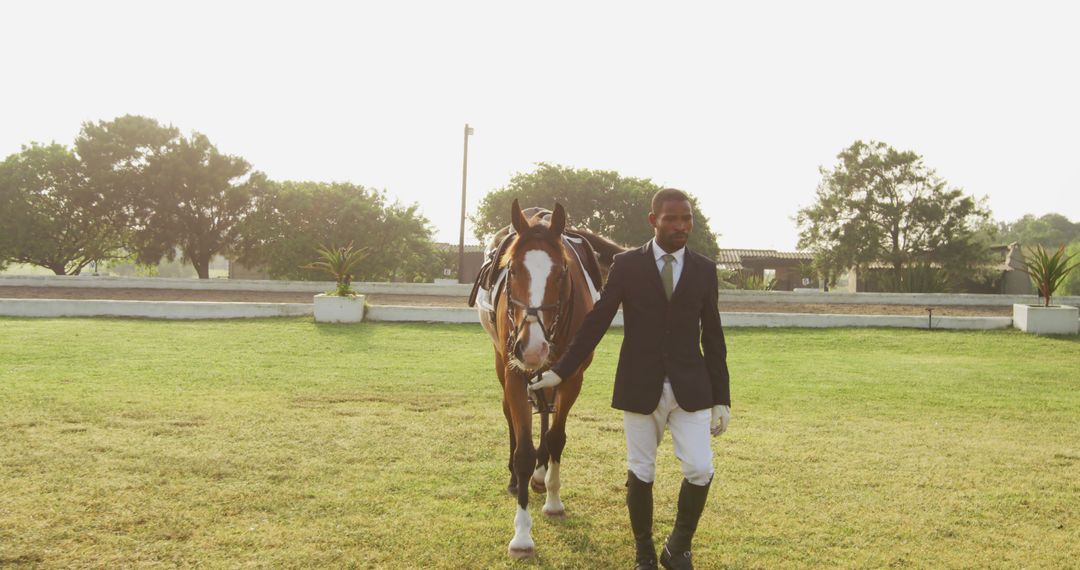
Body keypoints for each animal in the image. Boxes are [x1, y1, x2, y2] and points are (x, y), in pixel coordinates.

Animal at [477, 199, 622, 557]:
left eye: (561, 273)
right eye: (513, 269)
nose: (532, 347)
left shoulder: (572, 375)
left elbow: (556, 437)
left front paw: (554, 500)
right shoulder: (515, 372)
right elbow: (523, 450)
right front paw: (522, 535)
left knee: (545, 410)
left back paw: (542, 476)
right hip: (503, 360)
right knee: (512, 414)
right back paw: (517, 479)